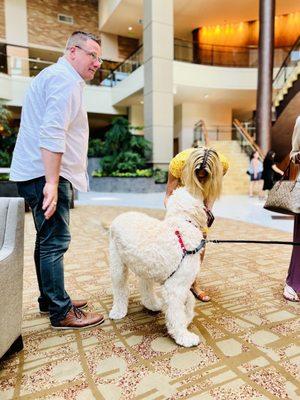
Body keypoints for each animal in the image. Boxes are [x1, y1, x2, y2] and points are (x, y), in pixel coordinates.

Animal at [108, 188, 209, 346]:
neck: (182, 223)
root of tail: (120, 217)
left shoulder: (180, 283)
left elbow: (190, 300)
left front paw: (187, 317)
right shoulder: (175, 288)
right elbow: (177, 313)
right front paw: (184, 336)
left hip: (145, 266)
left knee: (145, 289)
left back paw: (153, 305)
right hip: (118, 265)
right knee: (120, 290)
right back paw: (118, 311)